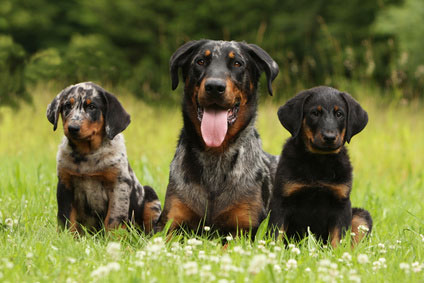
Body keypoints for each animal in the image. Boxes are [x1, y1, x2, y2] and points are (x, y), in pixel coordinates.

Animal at [46, 82, 161, 235]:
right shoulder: (65, 185)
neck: (87, 154)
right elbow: (66, 219)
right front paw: (67, 238)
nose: (72, 128)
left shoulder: (119, 186)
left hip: (151, 199)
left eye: (92, 107)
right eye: (67, 106)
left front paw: (112, 239)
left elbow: (113, 220)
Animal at [155, 38, 278, 236]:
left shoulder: (244, 227)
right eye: (200, 61)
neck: (216, 154)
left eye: (237, 63)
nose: (214, 87)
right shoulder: (170, 222)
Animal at [270, 86, 372, 248]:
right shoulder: (281, 200)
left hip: (361, 216)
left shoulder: (341, 204)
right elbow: (276, 234)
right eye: (315, 113)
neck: (319, 161)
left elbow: (338, 237)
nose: (329, 137)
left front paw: (337, 253)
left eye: (339, 114)